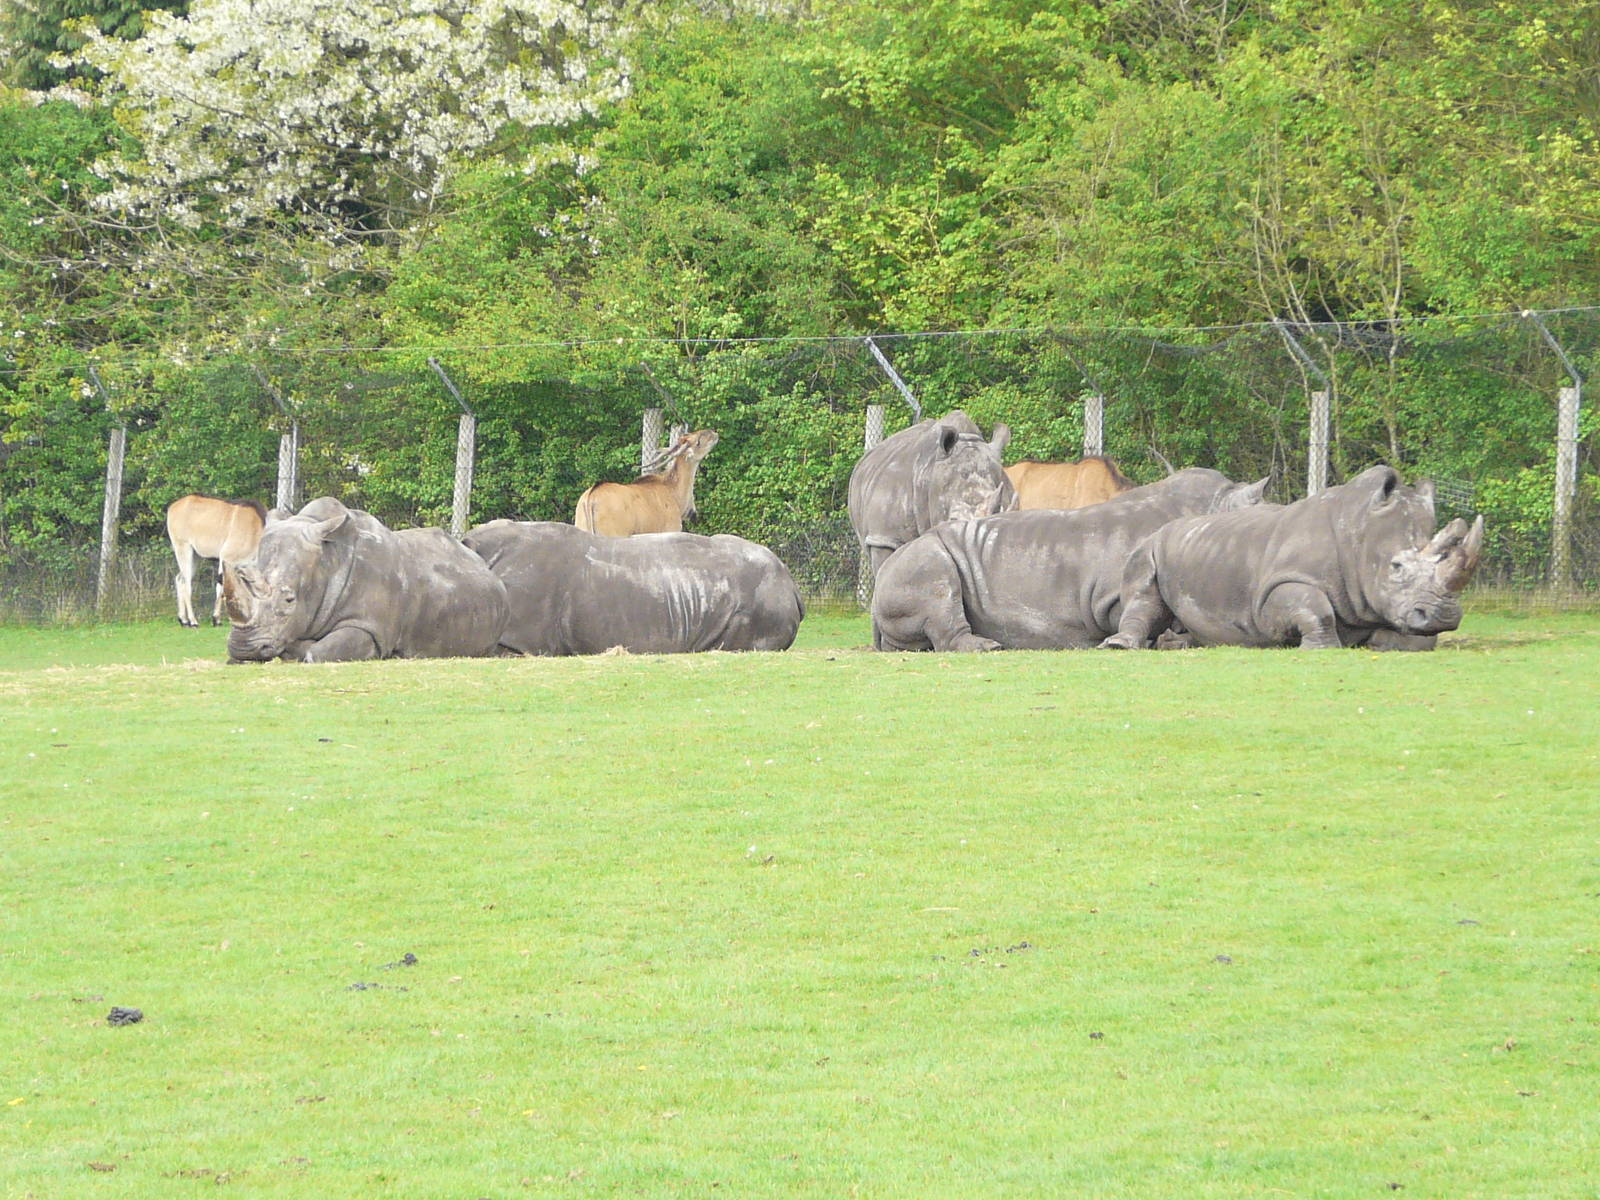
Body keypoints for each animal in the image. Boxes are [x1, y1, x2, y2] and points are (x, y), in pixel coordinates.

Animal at [223, 497, 509, 663]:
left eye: (289, 600)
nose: (242, 649)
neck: (328, 562)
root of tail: (480, 562)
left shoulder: (370, 627)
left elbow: (317, 652)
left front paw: (297, 650)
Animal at [1101, 465, 1485, 651]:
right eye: (1397, 567)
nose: (1443, 615)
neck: (1358, 536)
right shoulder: (1276, 588)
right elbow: (1315, 609)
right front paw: (1323, 648)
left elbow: (1414, 637)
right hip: (1148, 549)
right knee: (1144, 595)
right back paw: (1120, 646)